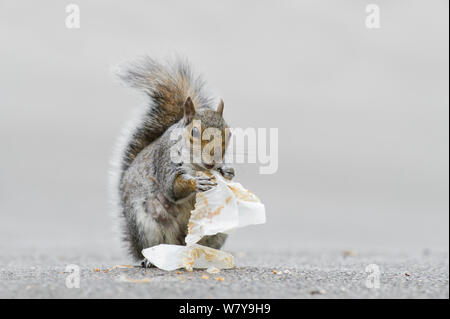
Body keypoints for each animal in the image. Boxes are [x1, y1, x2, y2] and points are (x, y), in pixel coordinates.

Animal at [111, 56, 236, 266]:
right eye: (194, 132)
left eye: (229, 132)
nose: (213, 162)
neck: (195, 165)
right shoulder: (166, 161)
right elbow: (172, 187)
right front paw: (196, 182)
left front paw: (227, 171)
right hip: (146, 224)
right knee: (150, 248)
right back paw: (149, 260)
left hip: (216, 231)